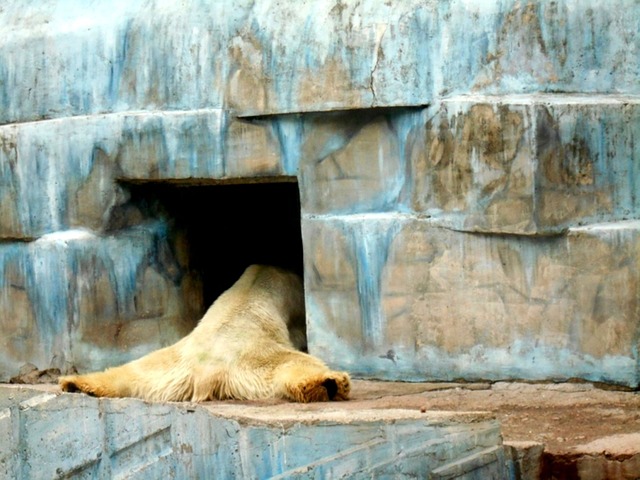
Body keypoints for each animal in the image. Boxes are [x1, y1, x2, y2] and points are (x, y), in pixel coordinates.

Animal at [58, 264, 350, 404]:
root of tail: (205, 375)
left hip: (169, 366)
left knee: (126, 375)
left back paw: (77, 384)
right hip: (258, 359)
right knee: (295, 365)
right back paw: (330, 383)